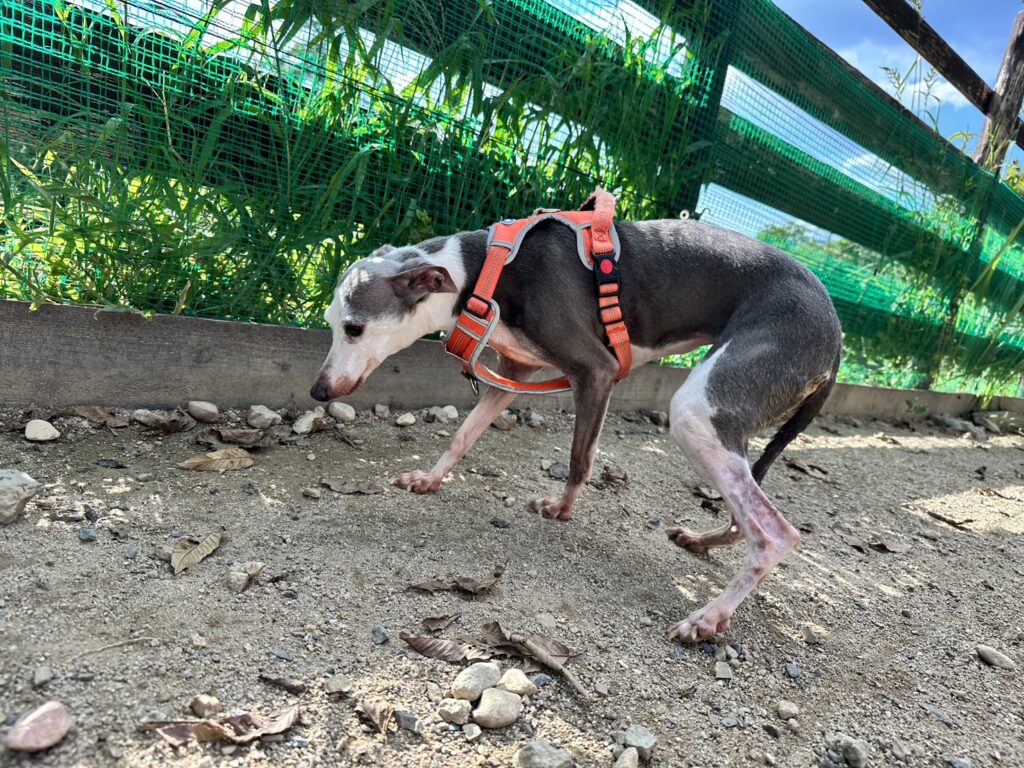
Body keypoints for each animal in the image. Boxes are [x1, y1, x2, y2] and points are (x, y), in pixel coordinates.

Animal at [310, 212, 842, 642]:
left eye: (354, 328)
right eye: (331, 321)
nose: (318, 391)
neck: (486, 269)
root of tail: (836, 336)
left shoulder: (597, 371)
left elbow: (579, 458)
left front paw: (562, 509)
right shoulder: (514, 373)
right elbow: (463, 435)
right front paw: (429, 478)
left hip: (697, 412)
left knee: (774, 534)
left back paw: (708, 617)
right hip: (726, 425)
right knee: (741, 517)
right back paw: (701, 542)